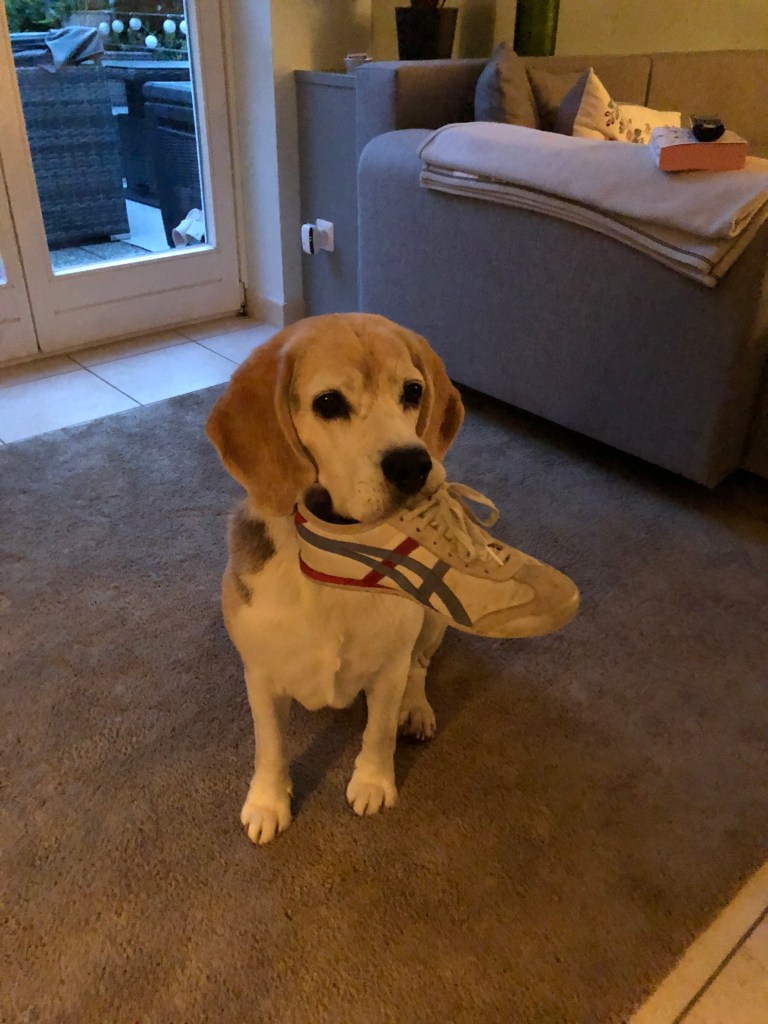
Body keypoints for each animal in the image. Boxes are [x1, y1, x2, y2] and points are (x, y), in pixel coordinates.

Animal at [206, 312, 464, 844]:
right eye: (328, 403)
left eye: (412, 391)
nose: (414, 463)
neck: (335, 549)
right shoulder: (261, 675)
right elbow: (270, 746)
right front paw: (267, 803)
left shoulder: (388, 666)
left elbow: (379, 731)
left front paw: (373, 782)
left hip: (432, 620)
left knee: (420, 665)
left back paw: (416, 709)